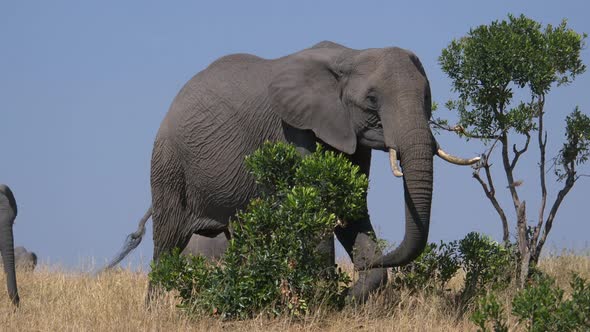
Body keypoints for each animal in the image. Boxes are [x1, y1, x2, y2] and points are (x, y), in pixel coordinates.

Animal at [110, 41, 480, 300]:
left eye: (427, 96)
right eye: (372, 100)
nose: (364, 265)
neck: (351, 55)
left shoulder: (349, 137)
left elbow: (350, 209)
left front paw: (344, 298)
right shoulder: (292, 130)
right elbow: (316, 208)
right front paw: (324, 301)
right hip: (168, 164)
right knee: (168, 241)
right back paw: (156, 309)